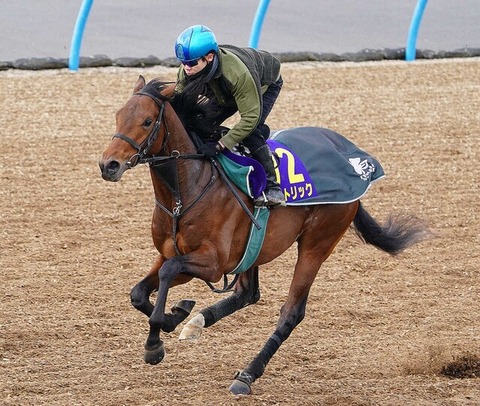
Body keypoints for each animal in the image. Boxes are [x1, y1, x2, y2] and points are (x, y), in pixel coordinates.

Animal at [97, 75, 428, 394]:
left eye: (147, 121)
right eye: (118, 116)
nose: (108, 165)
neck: (187, 190)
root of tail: (359, 164)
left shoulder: (213, 263)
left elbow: (167, 273)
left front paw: (156, 341)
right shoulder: (172, 252)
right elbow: (139, 292)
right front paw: (176, 315)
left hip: (317, 243)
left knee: (291, 313)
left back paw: (247, 375)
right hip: (252, 251)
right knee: (248, 293)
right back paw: (196, 323)